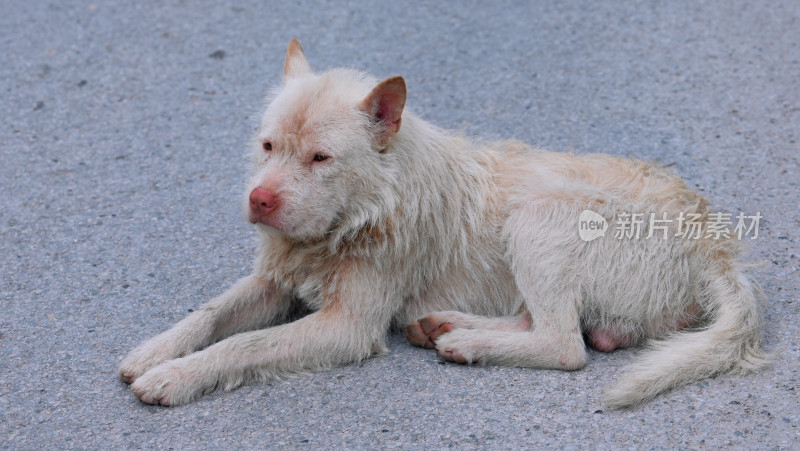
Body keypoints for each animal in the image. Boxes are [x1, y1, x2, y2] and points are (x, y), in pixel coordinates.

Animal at [117, 39, 764, 410]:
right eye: (268, 146)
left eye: (320, 158)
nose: (259, 200)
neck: (364, 211)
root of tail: (717, 247)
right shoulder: (272, 281)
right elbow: (210, 314)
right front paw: (157, 351)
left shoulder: (345, 327)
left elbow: (245, 343)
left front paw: (176, 377)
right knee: (550, 325)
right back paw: (447, 325)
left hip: (537, 218)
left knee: (566, 346)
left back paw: (466, 342)